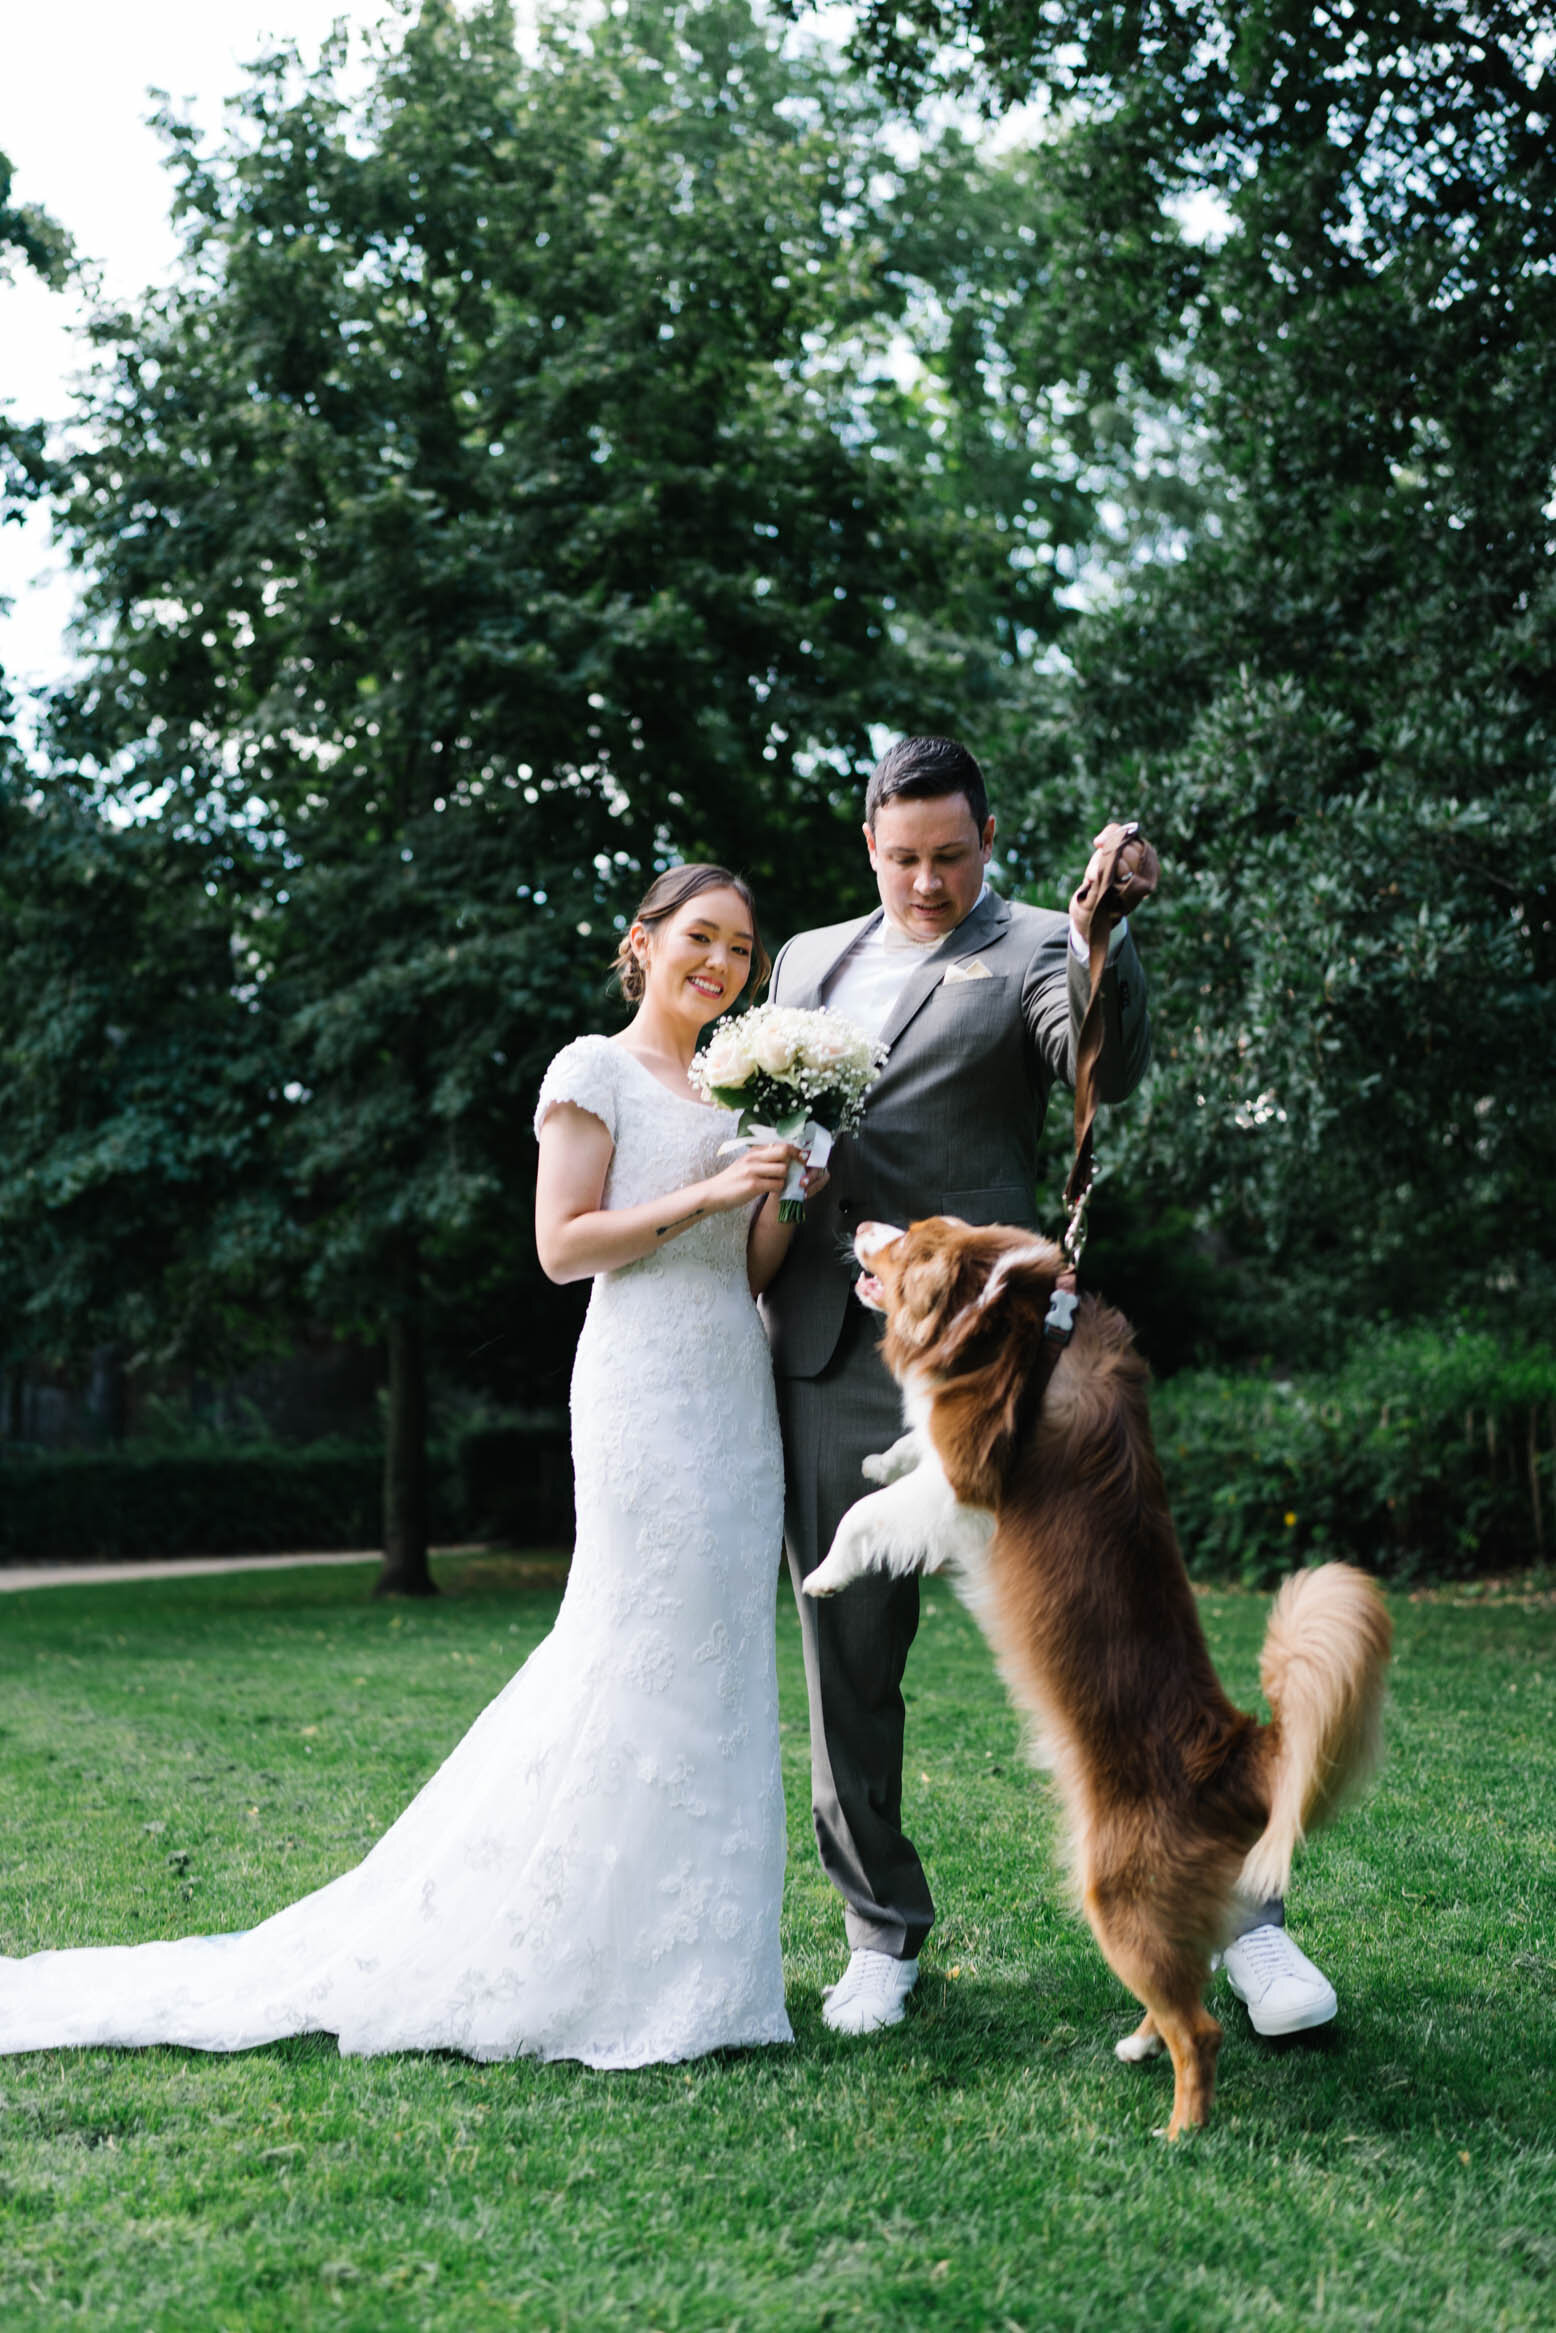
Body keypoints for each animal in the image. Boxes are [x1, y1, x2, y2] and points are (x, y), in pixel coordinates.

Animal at [811, 1213, 1390, 2137]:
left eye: (906, 1245)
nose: (861, 1221)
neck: (1009, 1311)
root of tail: (1239, 1753)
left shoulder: (969, 1482)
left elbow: (868, 1514)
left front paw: (825, 1572)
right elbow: (899, 1460)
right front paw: (885, 1456)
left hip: (1119, 1898)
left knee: (1203, 2027)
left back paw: (1181, 2130)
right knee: (1185, 1993)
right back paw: (1138, 2047)